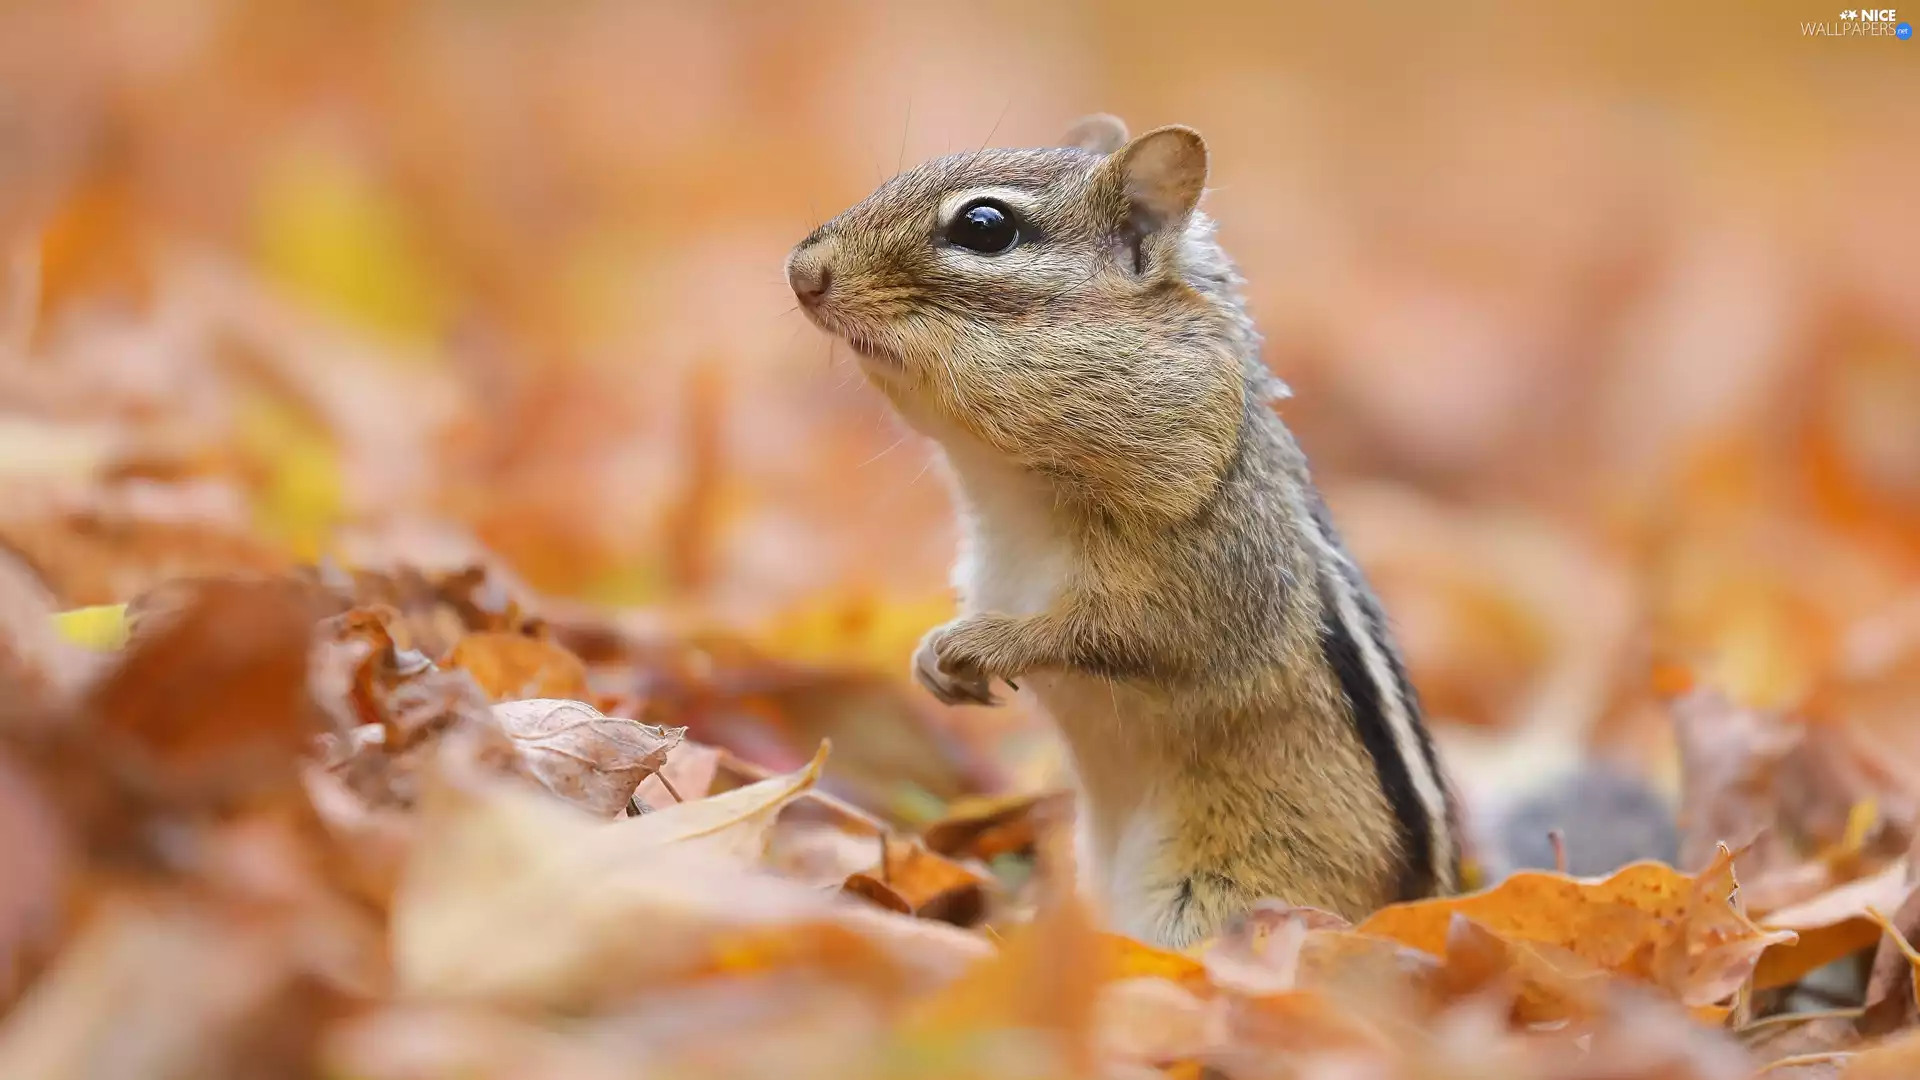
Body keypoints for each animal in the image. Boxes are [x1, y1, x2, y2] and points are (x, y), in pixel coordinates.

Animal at [784, 113, 1462, 947]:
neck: (1008, 491)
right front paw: (929, 658)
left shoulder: (1203, 578)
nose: (802, 272)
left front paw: (984, 643)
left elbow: (1117, 634)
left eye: (985, 226)